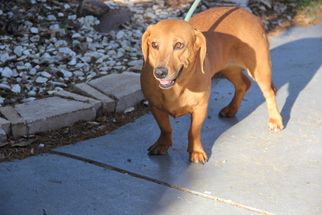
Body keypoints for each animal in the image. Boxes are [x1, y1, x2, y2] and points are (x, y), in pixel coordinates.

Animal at [140, 7, 284, 164]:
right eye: (154, 45)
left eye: (179, 45)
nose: (159, 73)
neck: (177, 87)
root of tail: (248, 13)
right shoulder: (154, 106)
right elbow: (165, 128)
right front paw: (162, 144)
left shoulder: (200, 108)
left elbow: (193, 131)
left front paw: (196, 151)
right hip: (228, 68)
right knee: (244, 84)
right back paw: (232, 108)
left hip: (259, 69)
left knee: (270, 92)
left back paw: (275, 119)